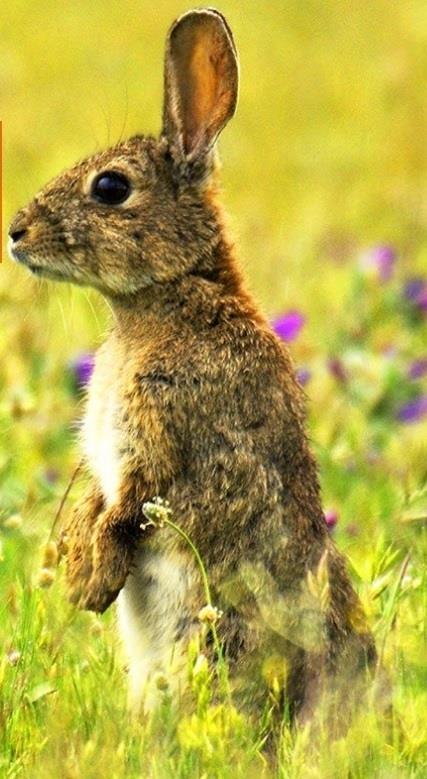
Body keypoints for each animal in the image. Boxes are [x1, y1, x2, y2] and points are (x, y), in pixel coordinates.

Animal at [9, 8, 378, 721]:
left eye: (111, 187)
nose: (14, 232)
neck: (171, 293)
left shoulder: (175, 438)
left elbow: (132, 507)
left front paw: (88, 582)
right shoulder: (109, 454)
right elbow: (98, 498)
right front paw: (77, 567)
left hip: (213, 637)